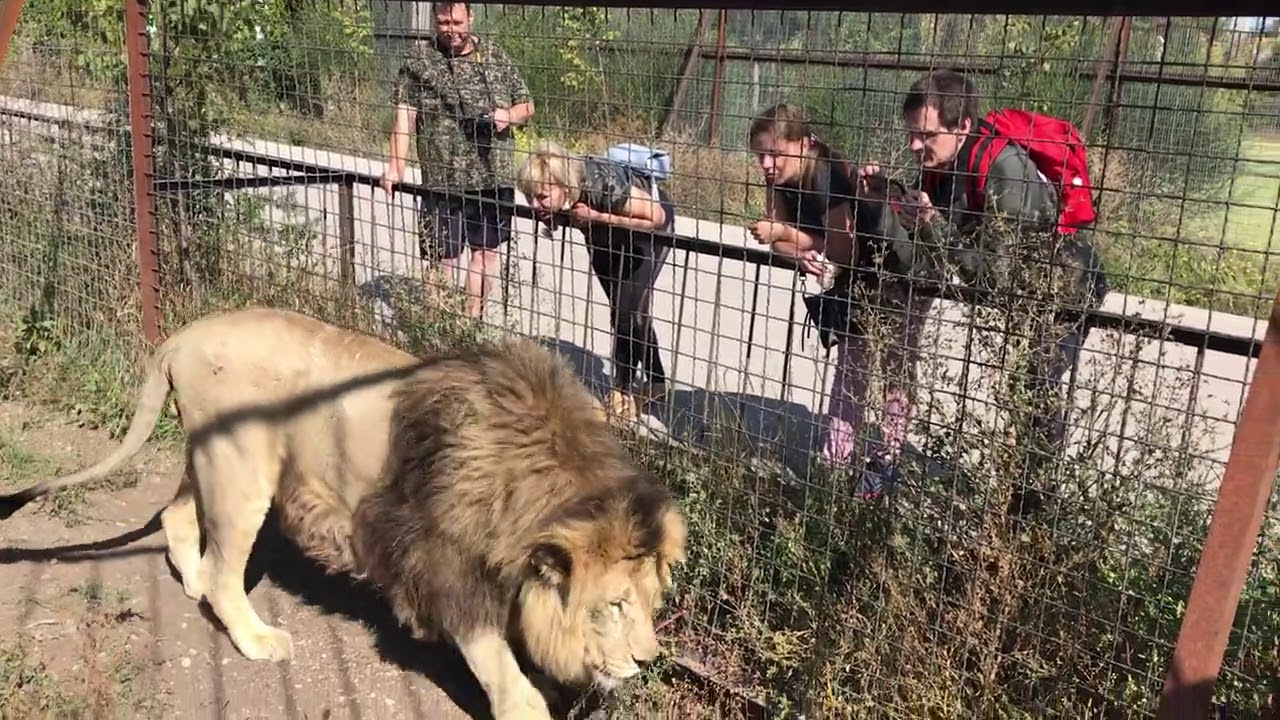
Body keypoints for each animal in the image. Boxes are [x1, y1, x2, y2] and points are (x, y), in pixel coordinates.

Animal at [0, 304, 686, 712]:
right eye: (614, 605)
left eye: (651, 603)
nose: (647, 661)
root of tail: (185, 335)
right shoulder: (443, 567)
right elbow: (501, 670)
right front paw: (529, 698)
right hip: (242, 471)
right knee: (226, 570)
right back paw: (254, 637)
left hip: (212, 457)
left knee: (177, 517)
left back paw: (191, 581)